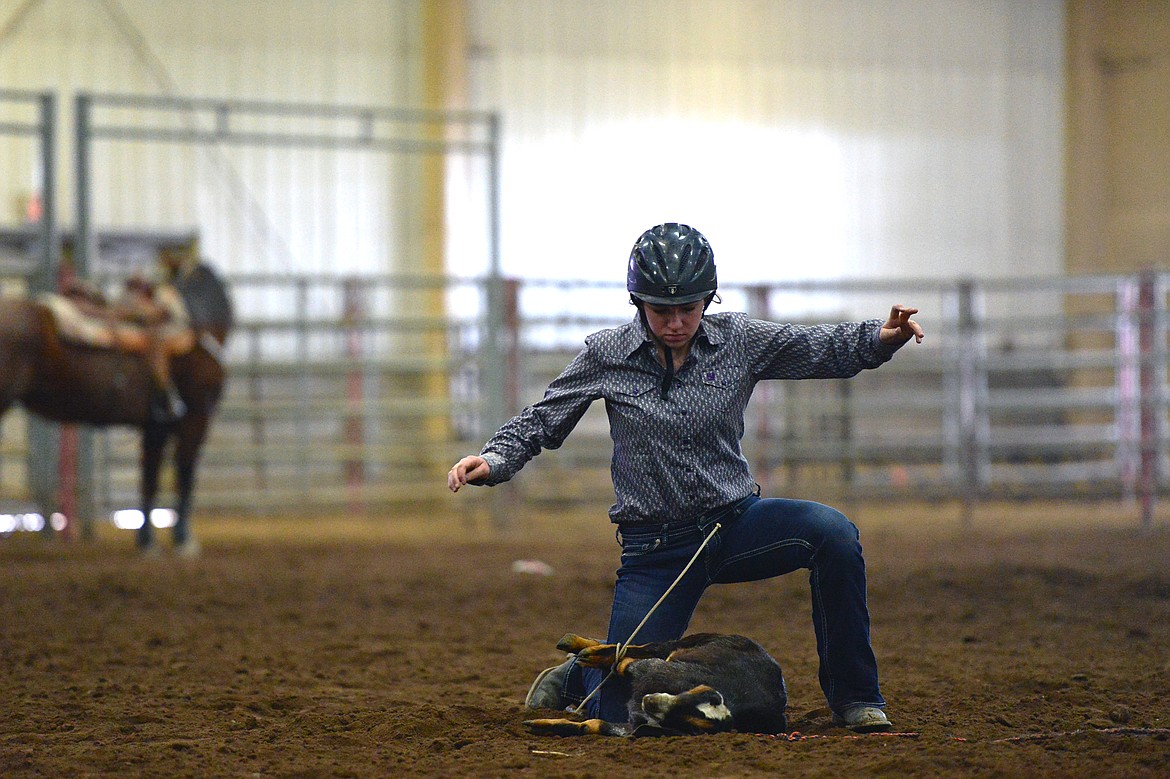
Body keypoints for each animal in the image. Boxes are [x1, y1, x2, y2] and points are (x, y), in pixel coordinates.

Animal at [0, 264, 231, 554]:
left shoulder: (156, 426)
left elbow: (150, 478)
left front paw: (146, 540)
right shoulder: (195, 418)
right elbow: (184, 475)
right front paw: (182, 539)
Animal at [524, 631, 786, 734]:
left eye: (681, 721)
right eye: (696, 697)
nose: (649, 702)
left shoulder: (635, 724)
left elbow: (595, 725)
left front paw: (541, 724)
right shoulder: (655, 668)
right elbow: (626, 662)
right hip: (685, 643)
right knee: (643, 648)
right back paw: (580, 646)